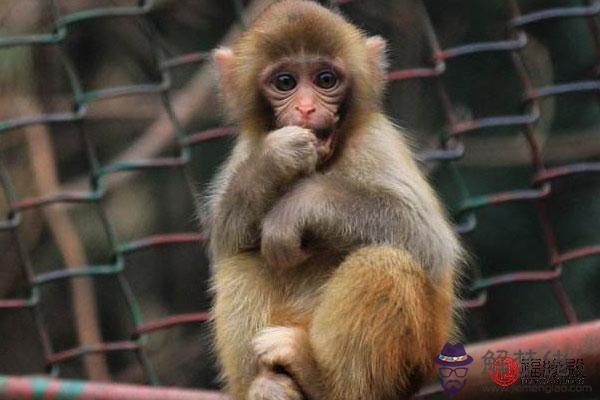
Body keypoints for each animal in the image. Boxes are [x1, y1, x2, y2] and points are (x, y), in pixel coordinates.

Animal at [206, 1, 464, 398]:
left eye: (325, 80)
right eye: (285, 82)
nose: (307, 108)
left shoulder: (374, 141)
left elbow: (429, 241)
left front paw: (300, 205)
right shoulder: (246, 148)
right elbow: (223, 235)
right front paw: (273, 160)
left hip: (416, 356)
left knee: (384, 261)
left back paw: (322, 379)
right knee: (244, 259)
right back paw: (267, 385)